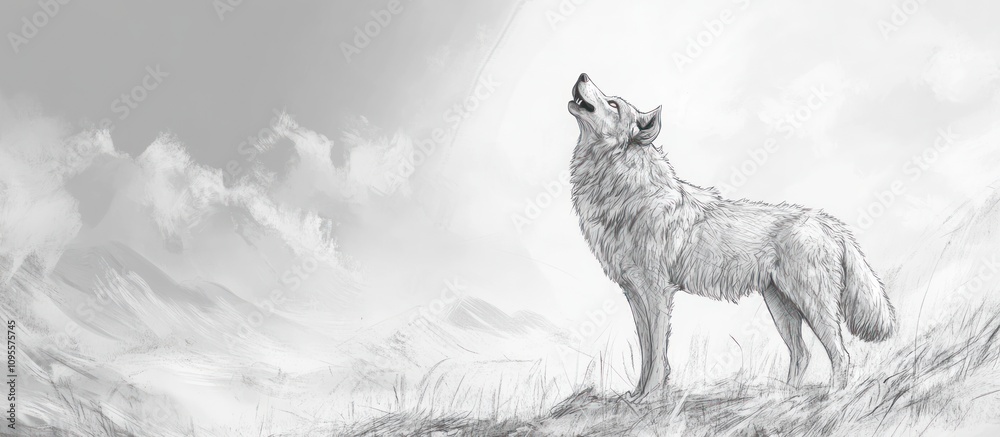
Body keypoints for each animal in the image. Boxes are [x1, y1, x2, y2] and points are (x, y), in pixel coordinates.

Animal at [567, 73, 896, 400]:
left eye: (613, 104)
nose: (582, 75)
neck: (626, 192)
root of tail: (830, 224)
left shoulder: (657, 292)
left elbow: (658, 354)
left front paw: (651, 396)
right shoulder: (634, 293)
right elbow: (646, 350)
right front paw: (636, 395)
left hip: (813, 305)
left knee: (840, 354)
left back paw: (833, 397)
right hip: (782, 306)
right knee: (802, 353)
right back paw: (784, 396)